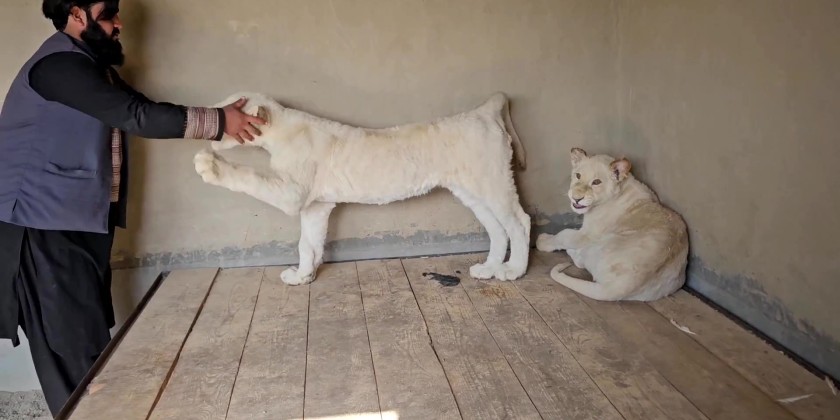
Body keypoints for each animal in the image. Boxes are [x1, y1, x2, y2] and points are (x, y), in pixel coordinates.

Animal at [193, 92, 530, 285]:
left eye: (228, 109)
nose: (213, 119)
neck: (279, 129)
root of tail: (482, 111)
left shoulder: (291, 194)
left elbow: (249, 176)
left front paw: (209, 165)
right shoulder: (316, 205)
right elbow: (308, 243)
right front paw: (303, 276)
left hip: (493, 181)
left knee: (519, 222)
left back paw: (513, 270)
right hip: (472, 190)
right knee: (498, 229)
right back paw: (489, 268)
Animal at [536, 148, 689, 301]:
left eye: (596, 182)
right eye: (578, 175)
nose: (576, 198)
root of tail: (619, 288)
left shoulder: (588, 235)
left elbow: (563, 235)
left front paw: (542, 241)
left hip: (597, 245)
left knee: (580, 262)